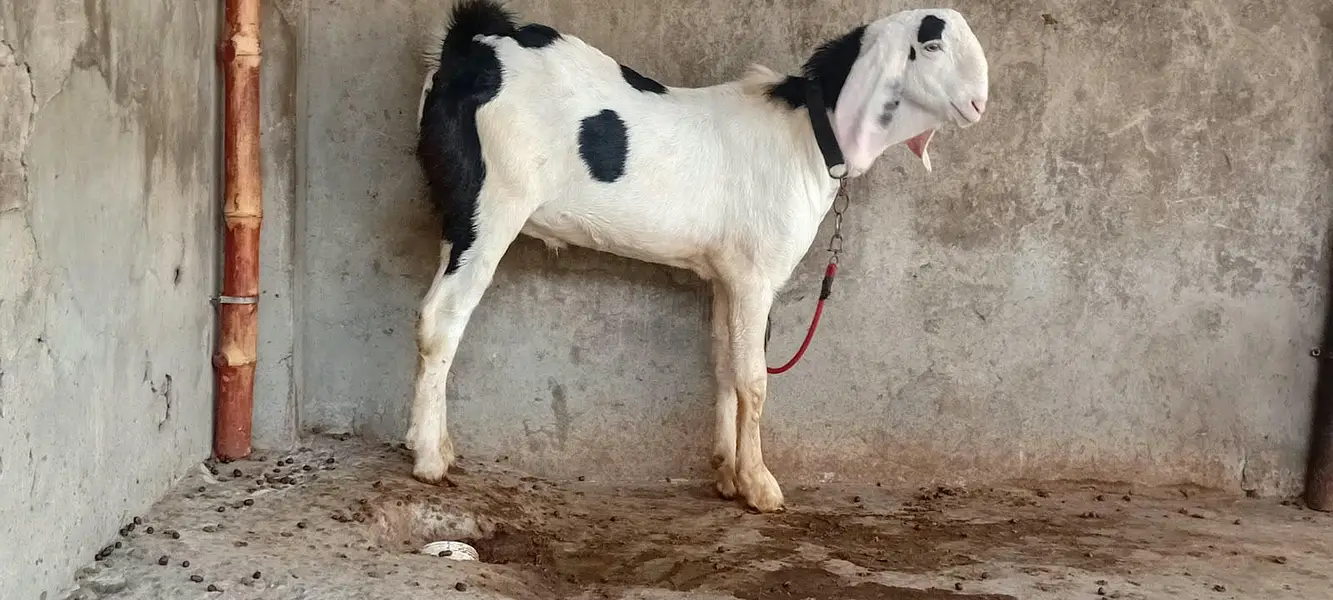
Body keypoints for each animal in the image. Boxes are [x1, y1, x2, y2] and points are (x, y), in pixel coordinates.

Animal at [409, 0, 990, 512]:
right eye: (932, 44)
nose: (980, 104)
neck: (807, 135)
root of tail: (471, 46)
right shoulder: (756, 275)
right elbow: (754, 379)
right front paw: (760, 486)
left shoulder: (725, 275)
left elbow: (725, 365)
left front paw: (727, 475)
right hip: (493, 203)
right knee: (443, 318)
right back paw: (430, 459)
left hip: (457, 211)